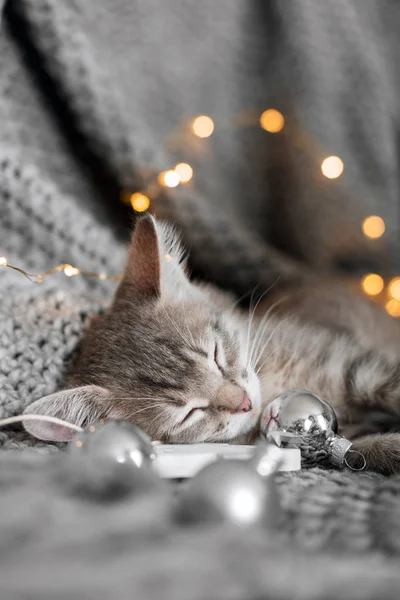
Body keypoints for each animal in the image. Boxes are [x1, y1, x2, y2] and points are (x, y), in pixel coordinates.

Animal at [24, 216, 400, 474]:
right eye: (190, 412)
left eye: (217, 355)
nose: (246, 403)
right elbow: (354, 450)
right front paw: (388, 447)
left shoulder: (351, 362)